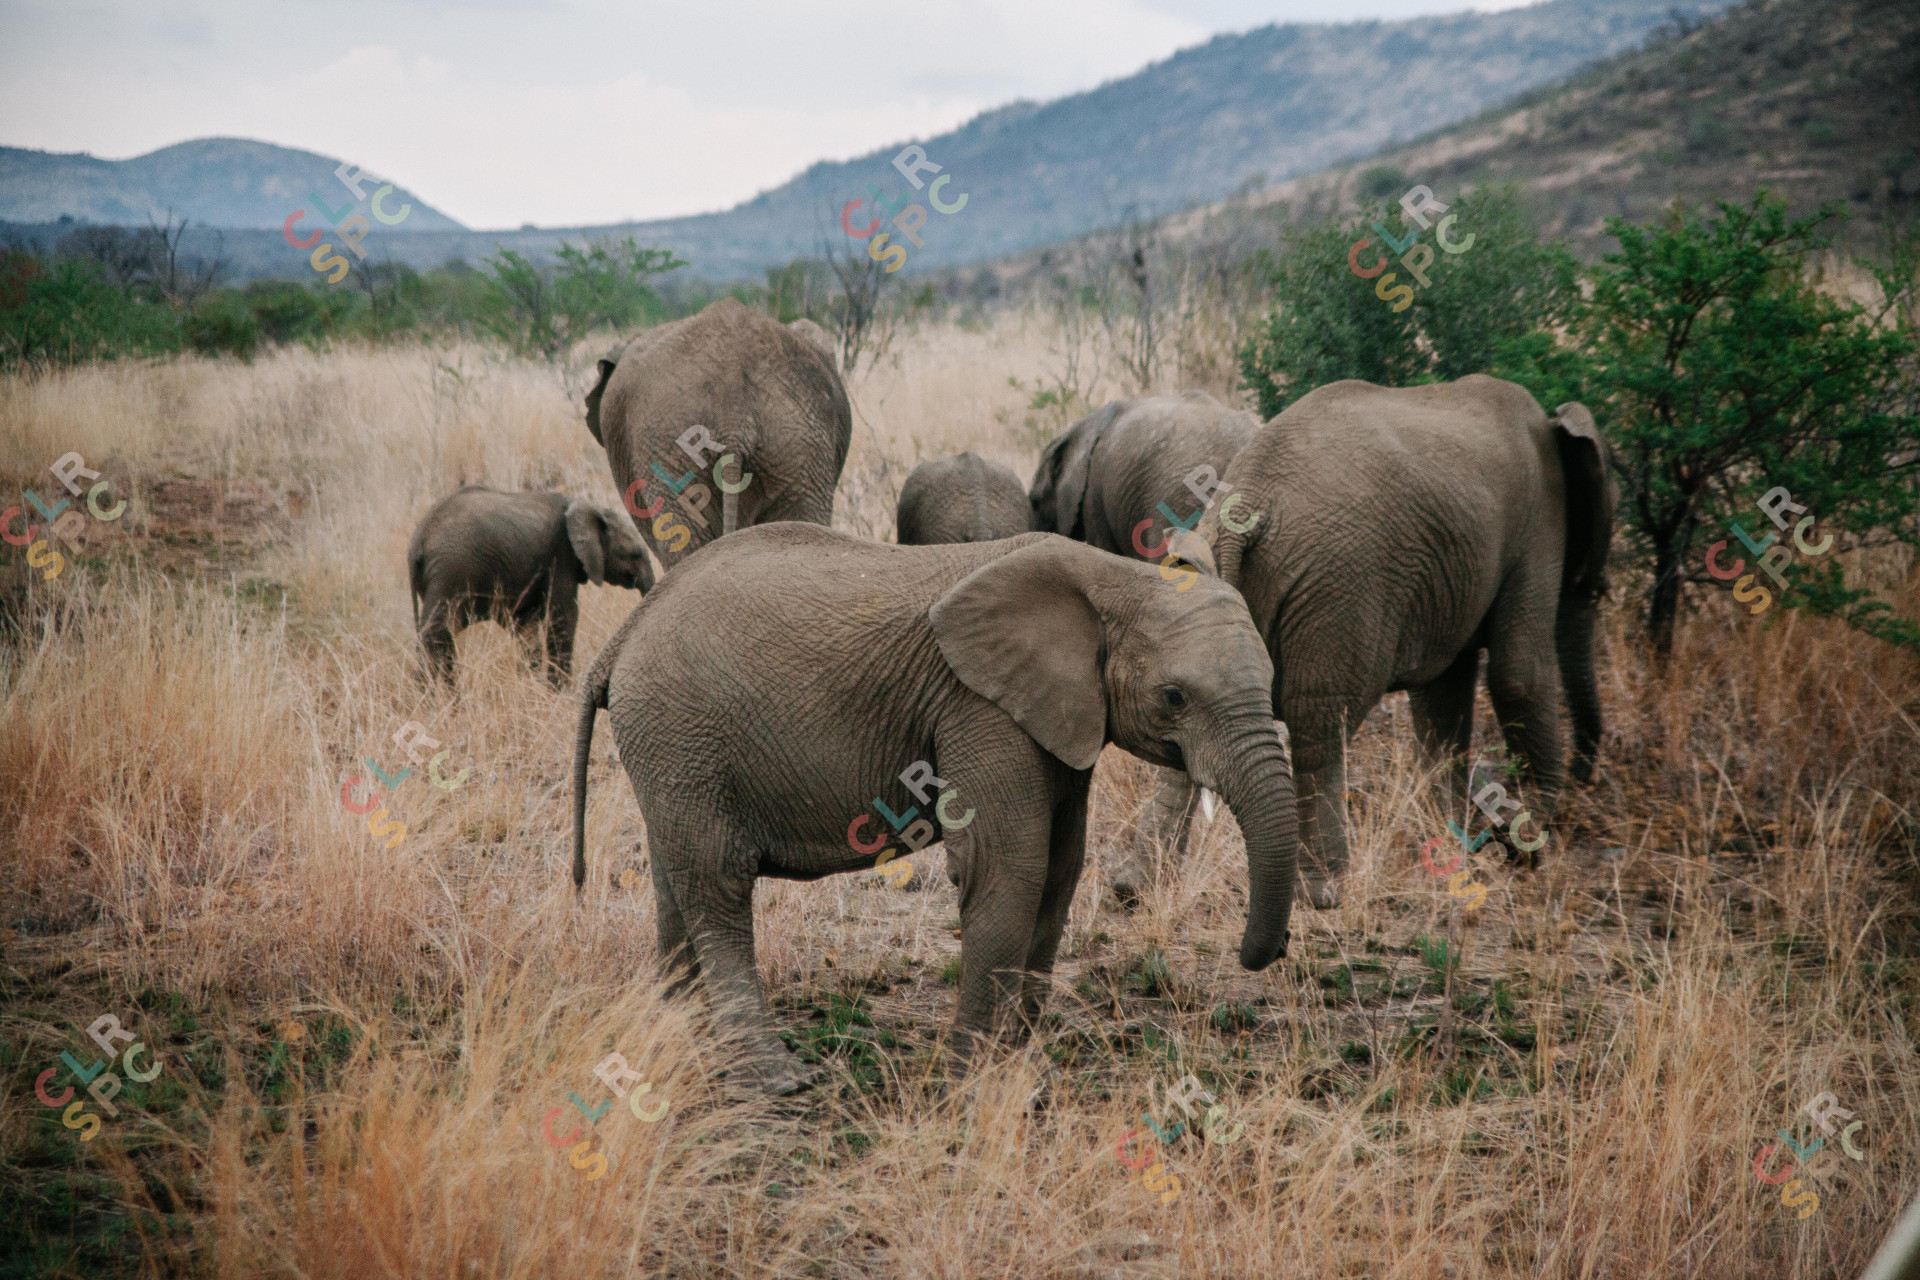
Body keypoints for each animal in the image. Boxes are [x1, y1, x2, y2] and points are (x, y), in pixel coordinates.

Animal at [408, 486, 651, 687]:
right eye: (635, 555)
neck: (589, 506)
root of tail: (417, 542)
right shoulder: (561, 555)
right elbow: (563, 615)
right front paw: (559, 693)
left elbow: (526, 625)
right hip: (451, 570)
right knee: (438, 631)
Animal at [571, 523, 1298, 1095]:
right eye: (1175, 697)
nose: (1257, 954)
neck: (1112, 574)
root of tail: (623, 637)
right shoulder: (980, 707)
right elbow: (1008, 868)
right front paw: (972, 1085)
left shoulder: (1055, 716)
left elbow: (1060, 869)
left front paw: (1022, 1071)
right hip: (678, 727)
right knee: (717, 884)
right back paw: (773, 1080)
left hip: (672, 749)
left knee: (676, 879)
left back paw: (678, 1039)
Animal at [1121, 375, 1615, 910]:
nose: (1586, 775)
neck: (1553, 423)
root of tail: (1249, 500)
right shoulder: (1539, 521)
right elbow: (1518, 672)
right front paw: (1528, 842)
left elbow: (1443, 698)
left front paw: (1455, 839)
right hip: (1337, 592)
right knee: (1322, 723)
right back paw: (1324, 893)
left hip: (1206, 582)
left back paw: (1135, 887)